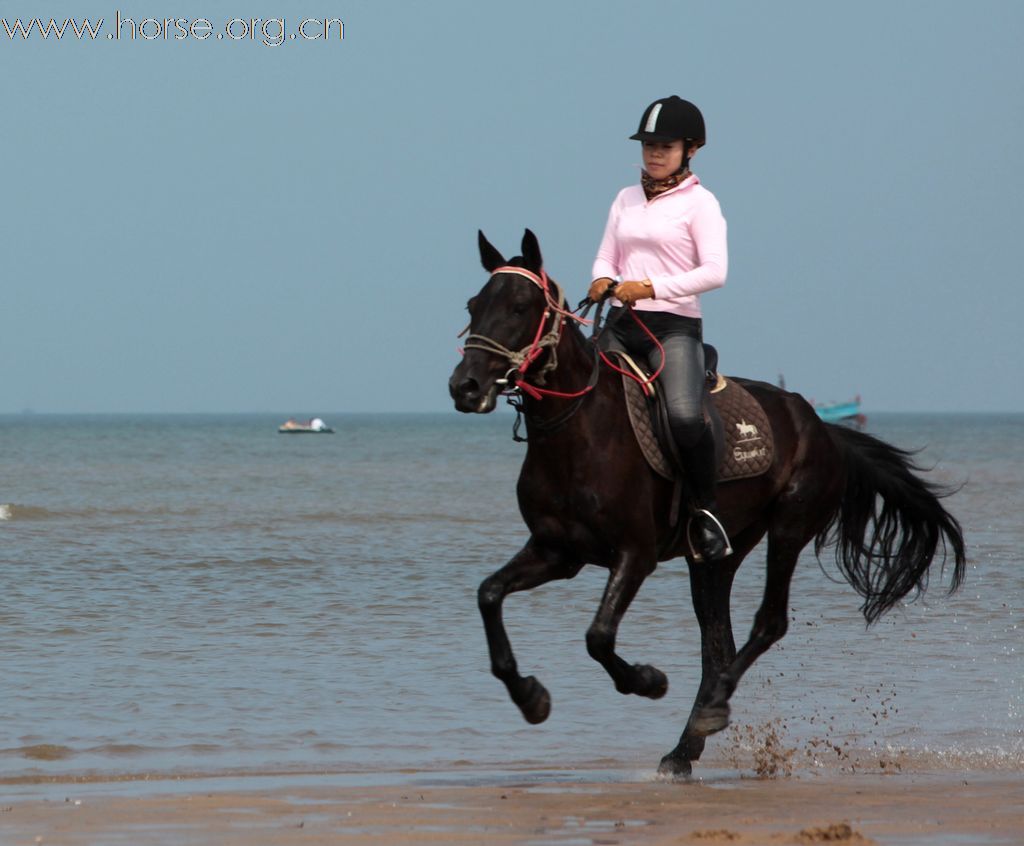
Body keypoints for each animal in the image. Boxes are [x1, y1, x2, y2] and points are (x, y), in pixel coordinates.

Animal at [448, 227, 966, 774]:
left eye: (521, 307)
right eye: (473, 305)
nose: (465, 387)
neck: (578, 431)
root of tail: (822, 427)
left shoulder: (635, 554)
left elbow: (598, 635)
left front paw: (647, 680)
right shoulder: (557, 552)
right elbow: (489, 595)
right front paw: (530, 697)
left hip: (789, 527)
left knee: (767, 624)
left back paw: (710, 711)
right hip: (716, 556)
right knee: (718, 643)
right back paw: (685, 747)